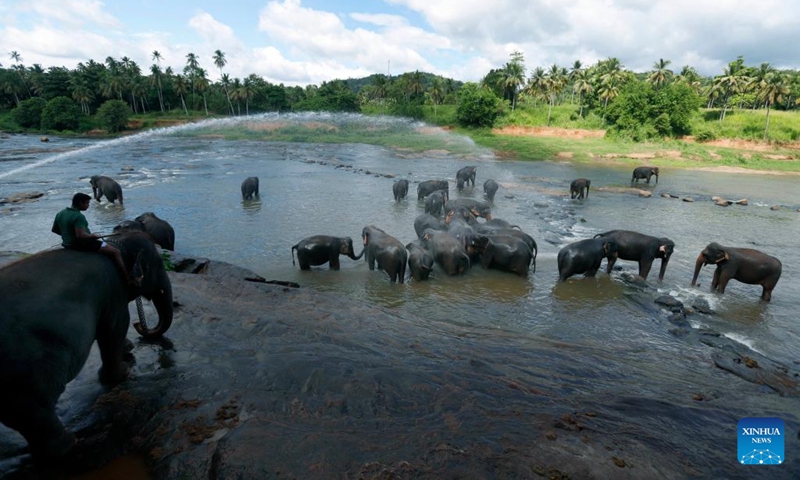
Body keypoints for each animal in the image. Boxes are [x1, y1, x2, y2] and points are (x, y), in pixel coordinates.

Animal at [0, 232, 173, 458]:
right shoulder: (113, 291)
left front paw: (127, 350)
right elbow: (116, 326)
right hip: (26, 366)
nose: (140, 326)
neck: (117, 242)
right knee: (35, 409)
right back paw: (69, 443)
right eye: (160, 265)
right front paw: (123, 372)